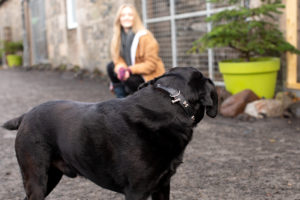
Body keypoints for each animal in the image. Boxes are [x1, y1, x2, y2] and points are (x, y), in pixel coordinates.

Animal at [2, 67, 218, 200]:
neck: (170, 101)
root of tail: (25, 115)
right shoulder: (137, 190)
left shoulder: (163, 186)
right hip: (37, 177)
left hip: (51, 177)